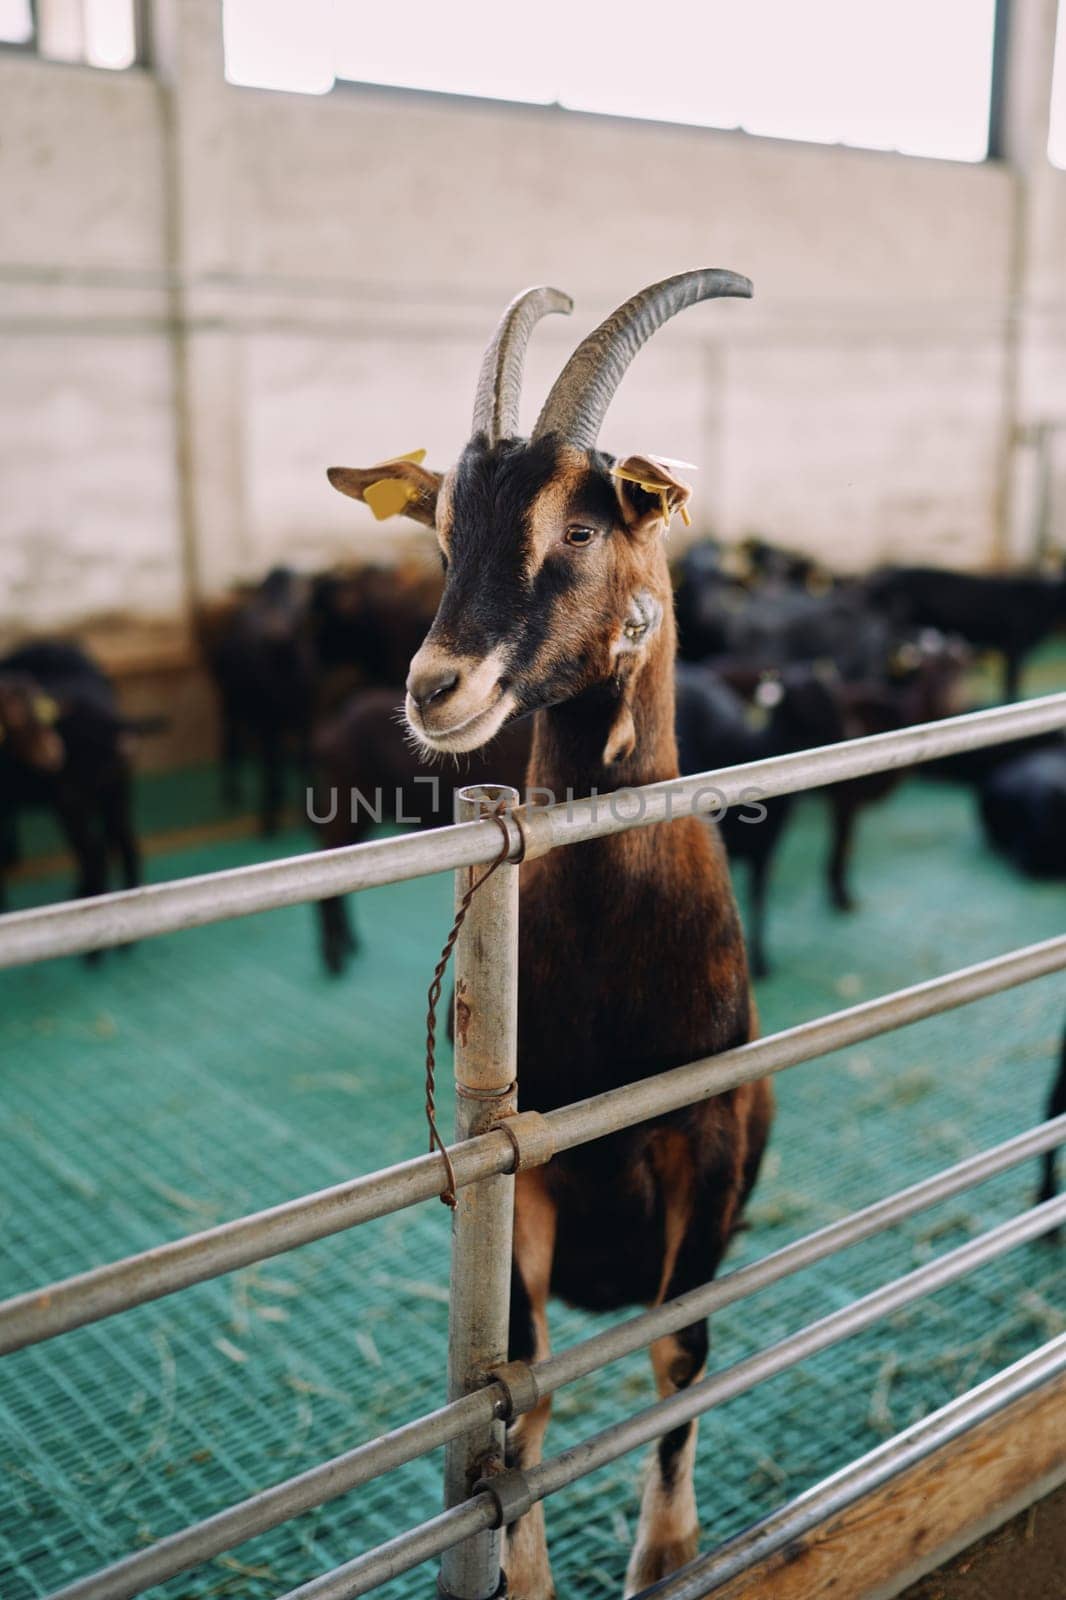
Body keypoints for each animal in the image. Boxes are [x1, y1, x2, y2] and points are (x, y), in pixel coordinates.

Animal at [328, 278, 768, 1600]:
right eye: (440, 533)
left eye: (578, 528)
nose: (435, 688)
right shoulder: (522, 1174)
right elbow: (515, 1385)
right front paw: (520, 1573)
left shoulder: (703, 1135)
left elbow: (680, 1351)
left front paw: (665, 1549)